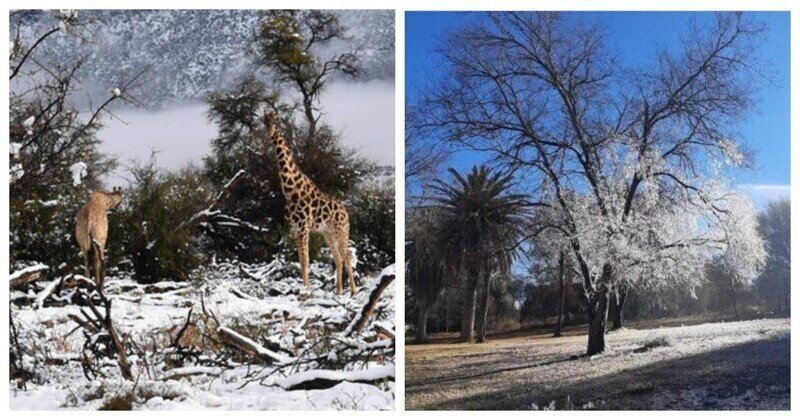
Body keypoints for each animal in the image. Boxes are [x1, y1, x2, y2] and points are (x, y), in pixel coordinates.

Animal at [264, 111, 354, 296]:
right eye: (264, 121)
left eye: (274, 121)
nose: (269, 133)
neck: (291, 189)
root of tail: (345, 212)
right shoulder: (295, 228)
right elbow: (301, 260)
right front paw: (304, 288)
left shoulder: (304, 227)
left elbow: (306, 259)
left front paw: (307, 290)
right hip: (328, 233)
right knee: (338, 257)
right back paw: (339, 291)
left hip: (341, 230)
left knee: (347, 254)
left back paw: (354, 291)